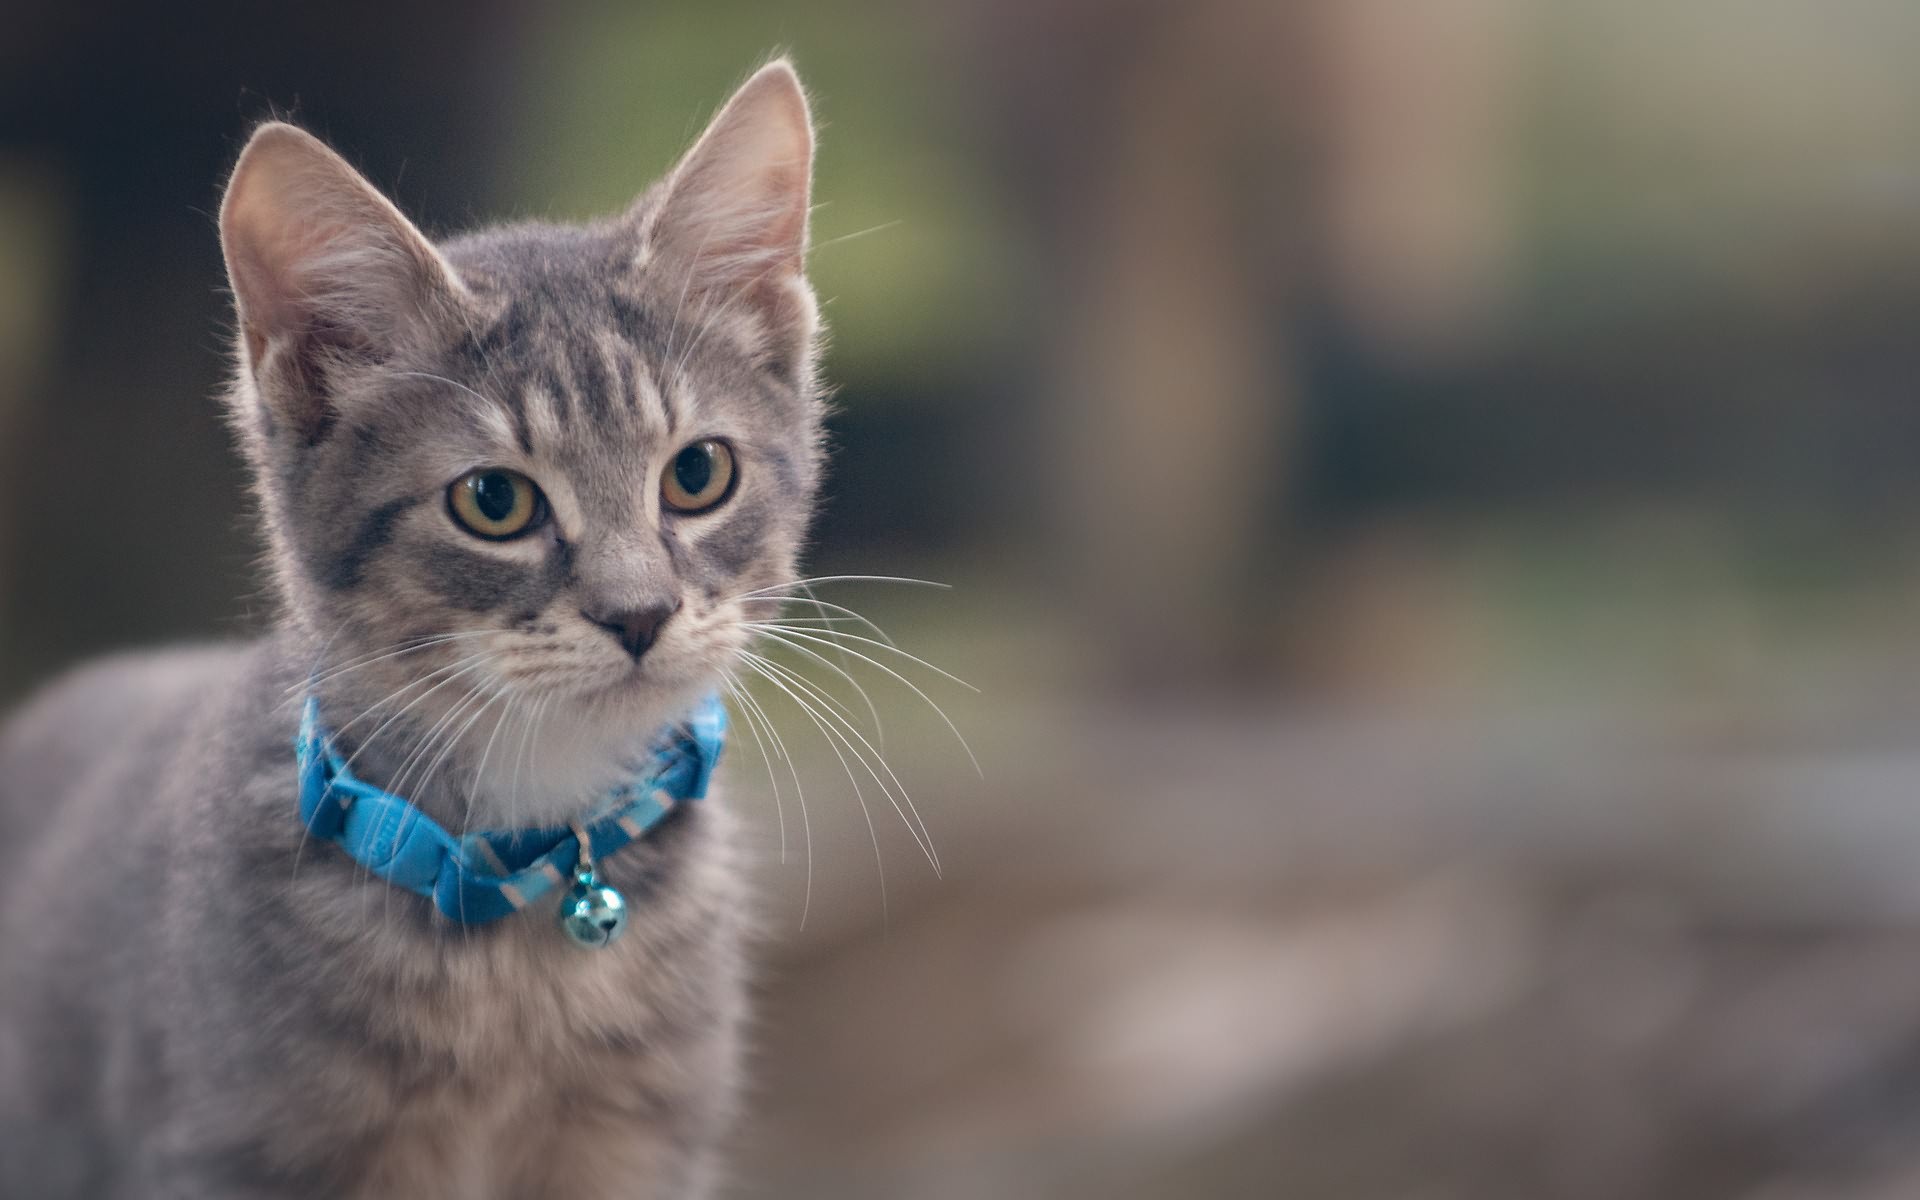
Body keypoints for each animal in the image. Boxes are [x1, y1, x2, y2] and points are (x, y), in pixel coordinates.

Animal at [0, 58, 817, 1198]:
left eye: (698, 474)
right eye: (494, 501)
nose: (640, 611)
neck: (518, 921)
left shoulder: (640, 1145)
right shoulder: (234, 1147)